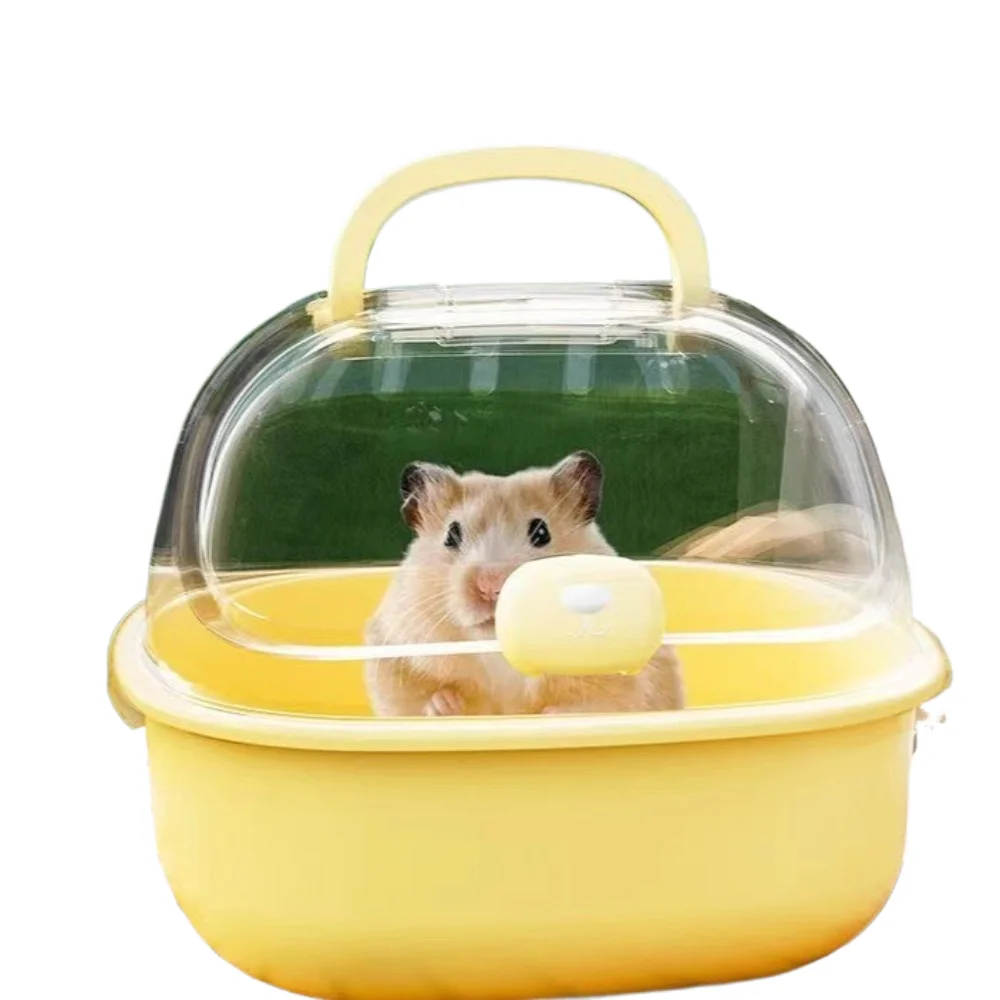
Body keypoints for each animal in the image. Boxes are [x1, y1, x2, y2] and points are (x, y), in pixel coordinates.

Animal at [363, 451, 684, 717]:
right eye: (451, 534)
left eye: (542, 532)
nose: (490, 586)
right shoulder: (395, 651)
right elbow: (418, 700)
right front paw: (446, 706)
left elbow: (603, 702)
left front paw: (552, 715)